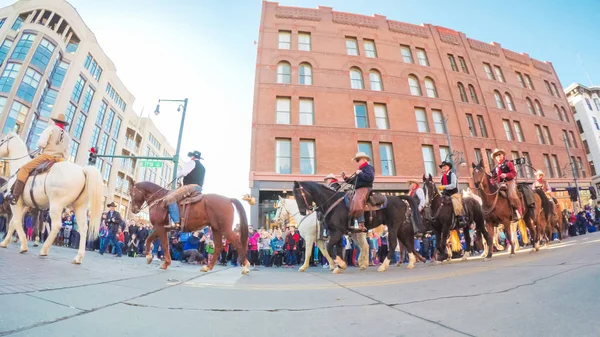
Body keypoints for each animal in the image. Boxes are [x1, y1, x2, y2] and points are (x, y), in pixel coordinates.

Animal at [0, 132, 102, 262]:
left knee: (57, 225)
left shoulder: (16, 203)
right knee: (83, 228)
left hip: (56, 205)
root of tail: (82, 170)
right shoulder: (24, 205)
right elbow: (14, 222)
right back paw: (78, 257)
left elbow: (17, 222)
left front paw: (23, 245)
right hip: (80, 206)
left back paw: (44, 250)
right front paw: (5, 242)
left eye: (2, 140)